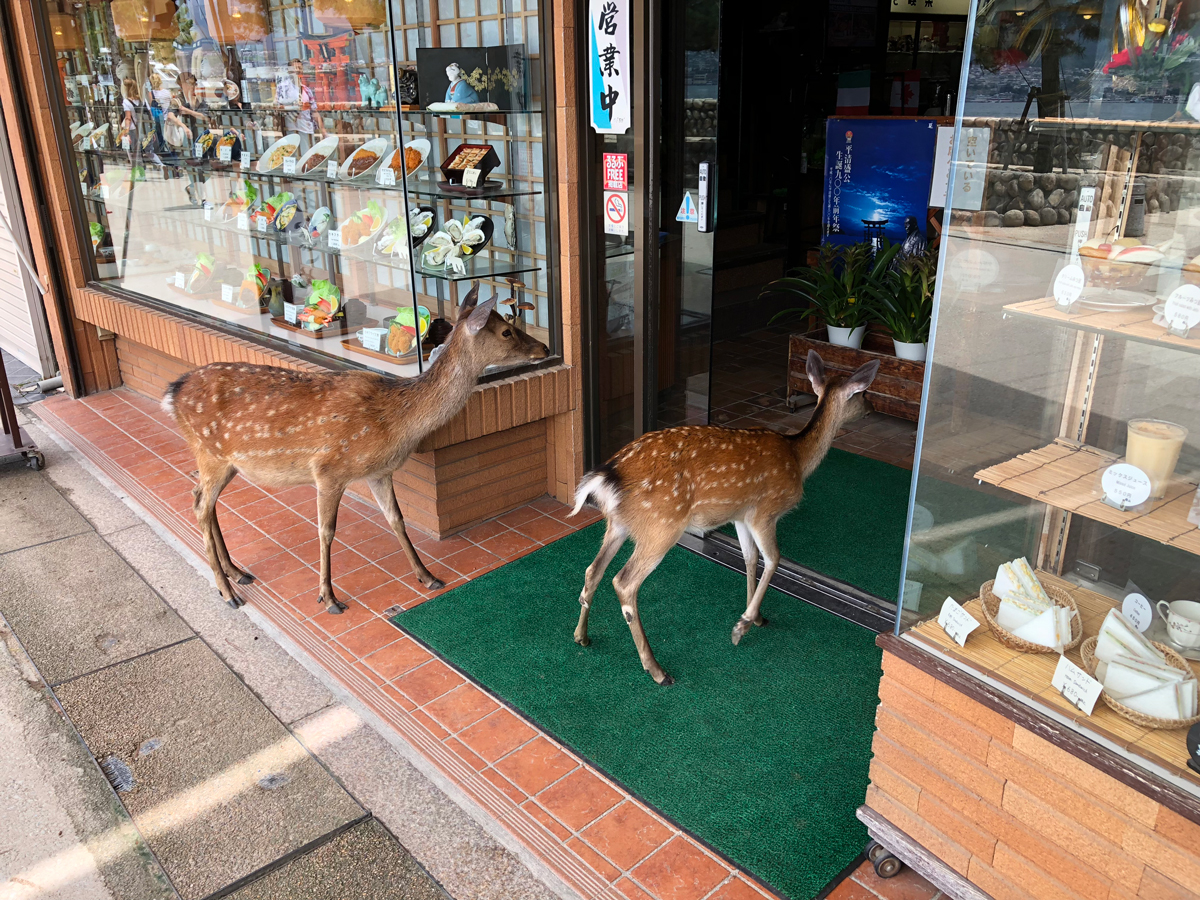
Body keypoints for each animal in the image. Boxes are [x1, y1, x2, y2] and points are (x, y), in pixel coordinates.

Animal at [164, 285, 549, 619]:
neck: (395, 421)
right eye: (506, 331)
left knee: (201, 498)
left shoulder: (380, 472)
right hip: (210, 453)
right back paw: (228, 591)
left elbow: (396, 519)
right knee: (200, 504)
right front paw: (328, 597)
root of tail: (173, 393)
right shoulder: (328, 470)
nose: (544, 349)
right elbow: (326, 531)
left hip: (222, 460)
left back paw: (236, 572)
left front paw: (427, 576)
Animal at [566, 350, 878, 681]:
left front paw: (757, 616)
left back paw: (582, 636)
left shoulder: (740, 515)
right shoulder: (764, 512)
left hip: (619, 523)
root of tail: (607, 475)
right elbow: (774, 559)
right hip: (662, 525)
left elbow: (751, 559)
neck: (797, 457)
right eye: (863, 393)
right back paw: (657, 670)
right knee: (624, 582)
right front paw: (743, 625)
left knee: (593, 570)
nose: (872, 408)